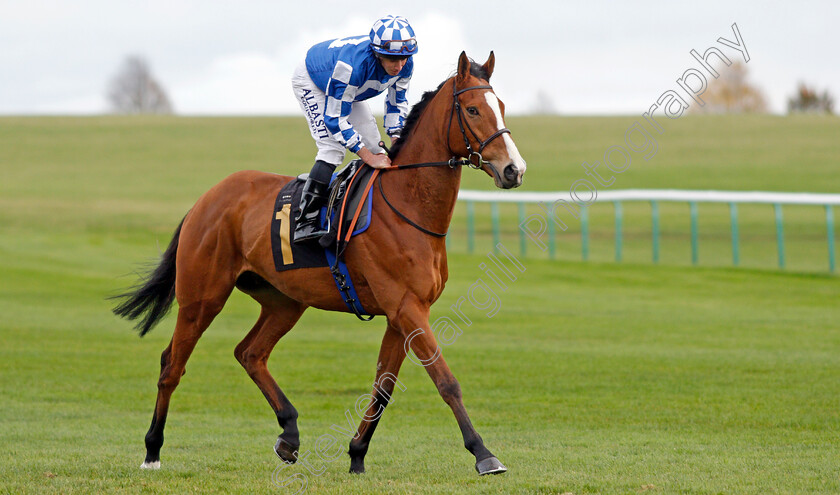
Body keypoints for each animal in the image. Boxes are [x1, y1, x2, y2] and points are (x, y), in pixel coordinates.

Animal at [113, 50, 524, 476]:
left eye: (501, 107)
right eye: (473, 109)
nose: (514, 169)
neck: (406, 203)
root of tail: (206, 198)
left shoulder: (403, 313)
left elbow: (383, 387)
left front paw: (357, 453)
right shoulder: (406, 307)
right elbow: (445, 380)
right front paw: (483, 452)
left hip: (285, 302)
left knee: (249, 353)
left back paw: (289, 434)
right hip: (202, 297)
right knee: (172, 365)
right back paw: (153, 450)